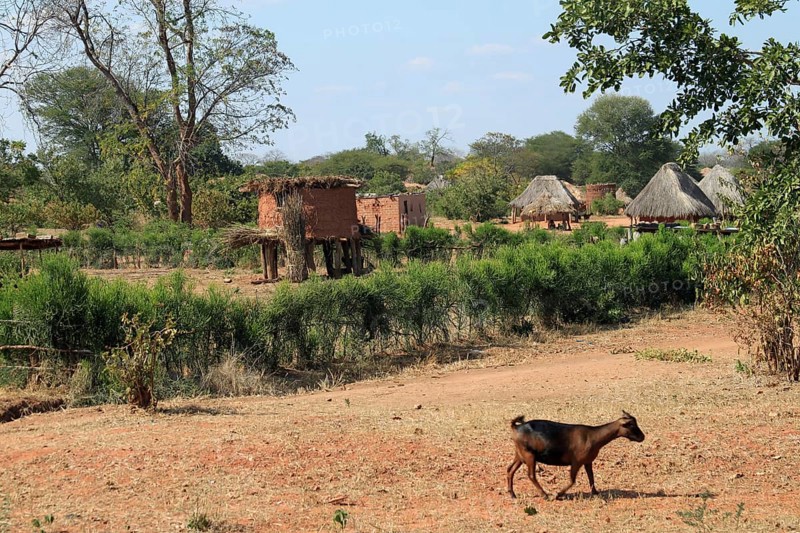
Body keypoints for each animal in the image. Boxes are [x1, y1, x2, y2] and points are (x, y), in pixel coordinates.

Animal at [507, 411, 645, 500]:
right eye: (631, 425)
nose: (642, 437)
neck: (593, 437)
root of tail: (515, 428)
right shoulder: (576, 462)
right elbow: (572, 480)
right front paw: (558, 494)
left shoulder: (588, 461)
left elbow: (591, 477)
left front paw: (595, 492)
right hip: (529, 455)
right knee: (531, 475)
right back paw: (545, 495)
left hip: (520, 455)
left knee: (510, 470)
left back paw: (512, 494)